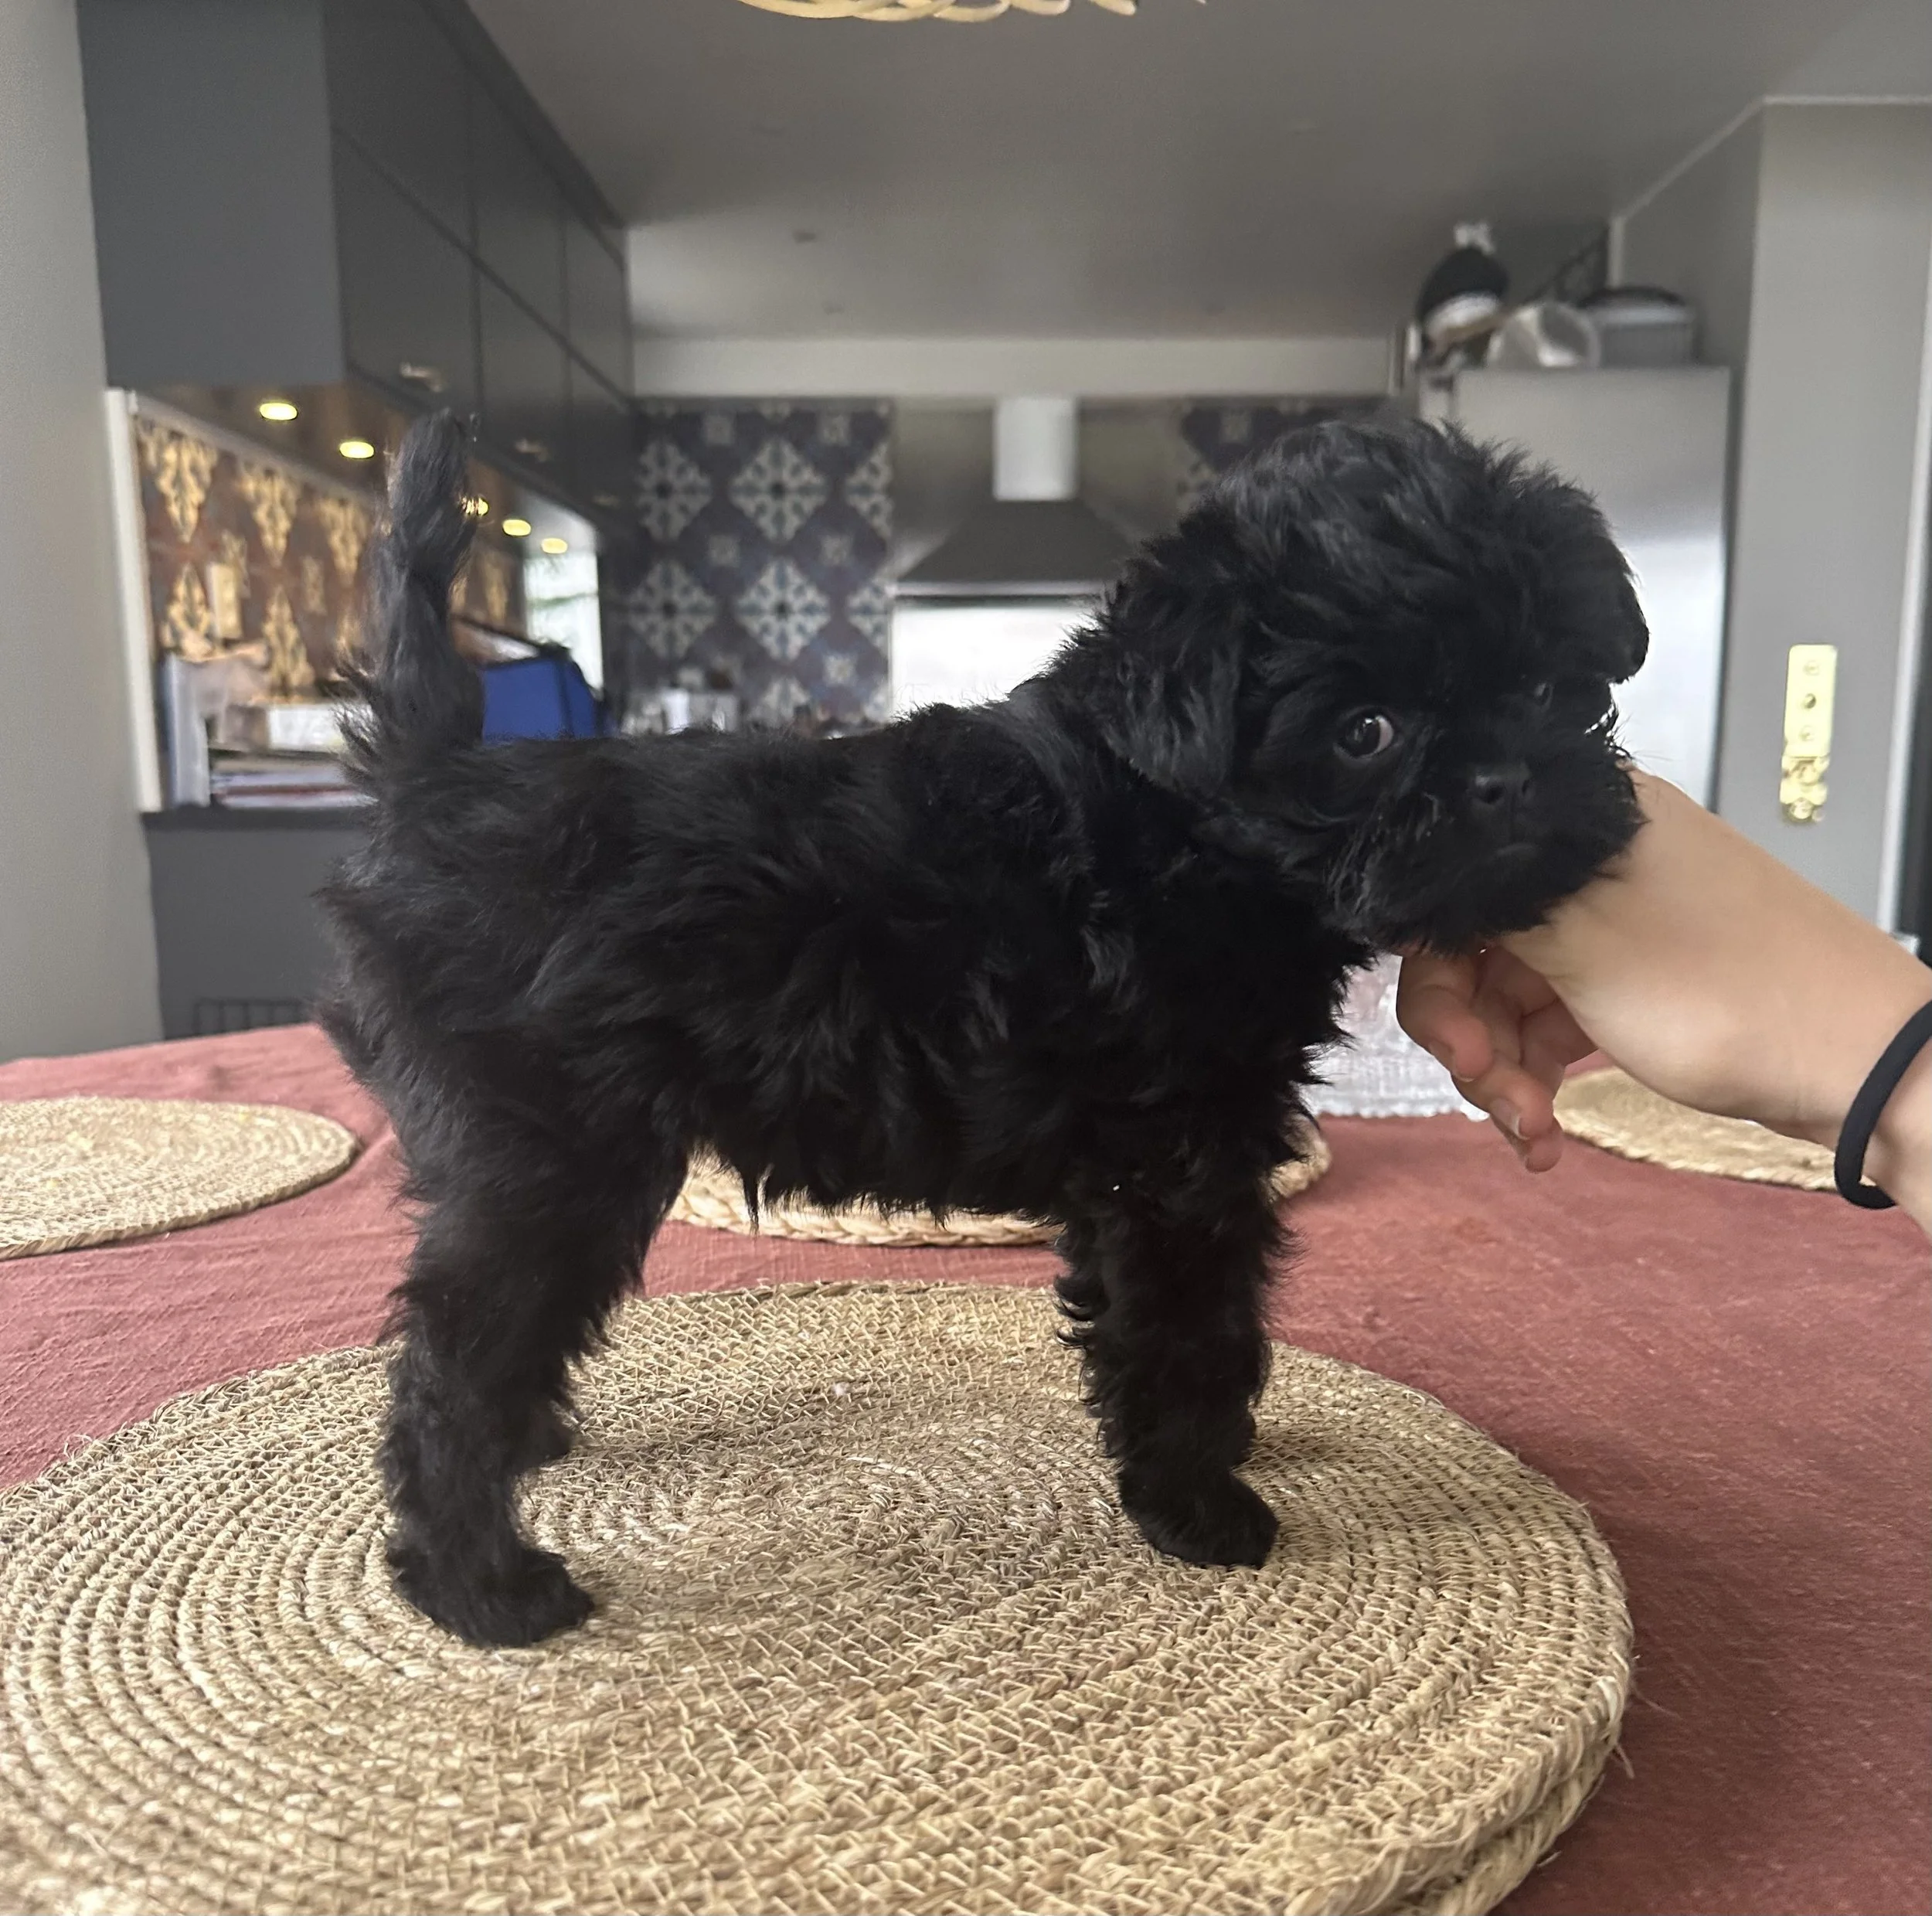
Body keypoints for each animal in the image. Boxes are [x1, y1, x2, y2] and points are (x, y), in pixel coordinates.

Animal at [320, 410, 1647, 1648]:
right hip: (554, 1157)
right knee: (450, 1371)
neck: (1184, 826)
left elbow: (1195, 1323)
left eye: (1550, 686)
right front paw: (1199, 1503)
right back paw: (482, 1585)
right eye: (1364, 730)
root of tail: (433, 777)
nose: (1508, 779)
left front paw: (1223, 1451)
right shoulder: (1179, 1169)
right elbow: (1191, 1326)